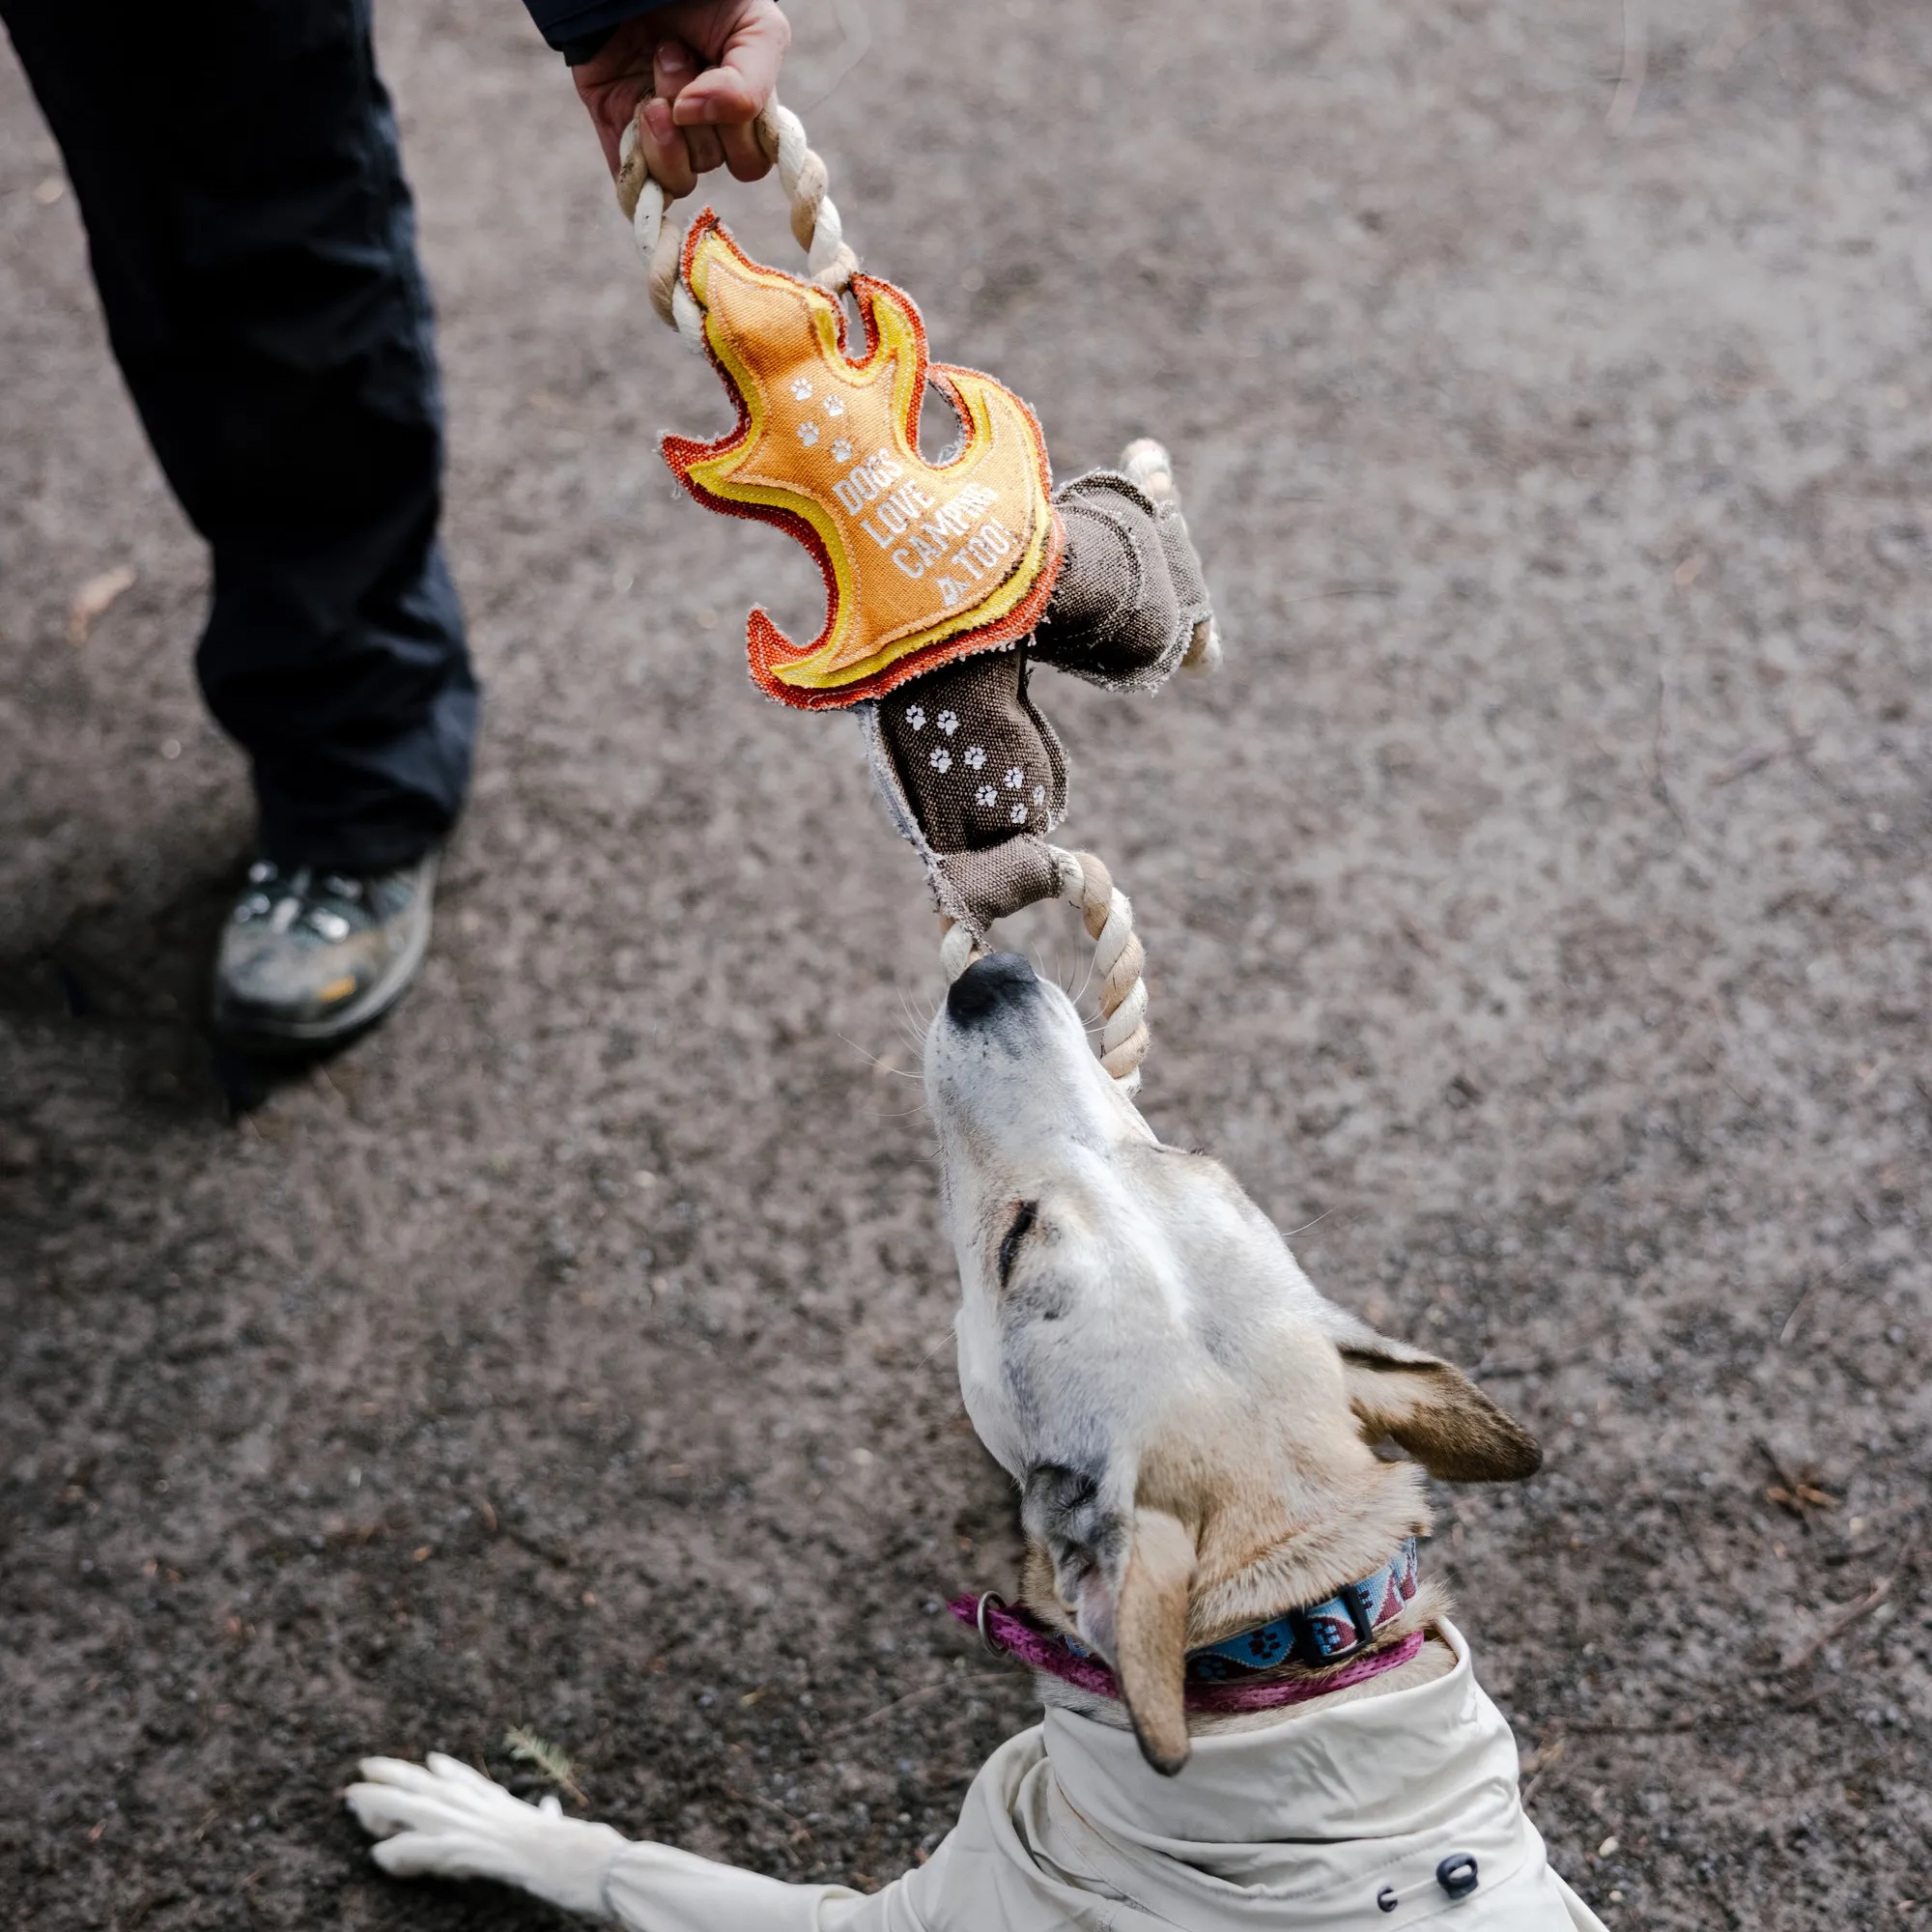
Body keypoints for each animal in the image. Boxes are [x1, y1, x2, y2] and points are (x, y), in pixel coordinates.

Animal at [352, 947, 1615, 1917]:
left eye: (1012, 1246)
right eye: (1183, 1154)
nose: (990, 977)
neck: (1288, 1649)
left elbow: (646, 1868)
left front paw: (489, 1826)